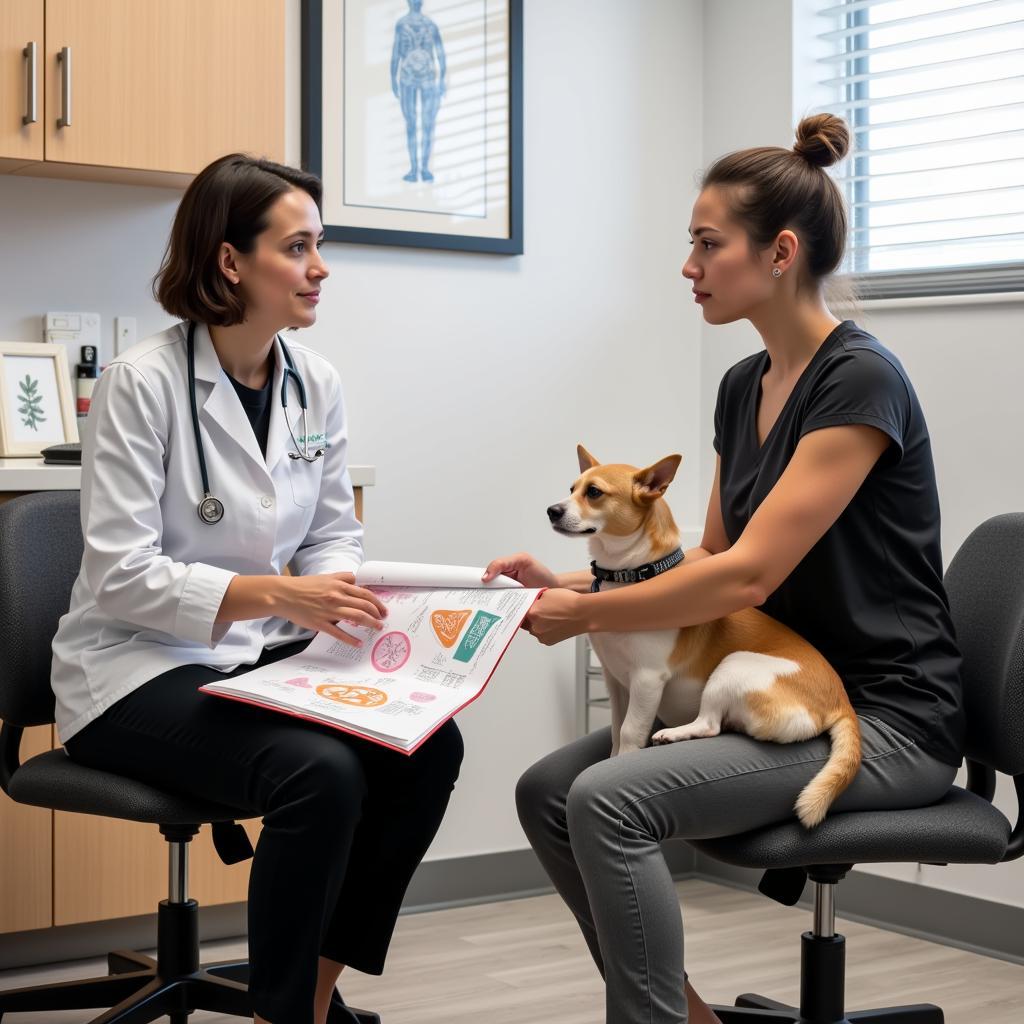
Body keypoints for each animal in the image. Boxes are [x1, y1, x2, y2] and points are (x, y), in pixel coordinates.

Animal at [548, 444, 860, 827]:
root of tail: (840, 702)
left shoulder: (647, 680)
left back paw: (672, 734)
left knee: (710, 724)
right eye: (572, 488)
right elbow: (616, 728)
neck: (634, 575)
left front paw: (622, 760)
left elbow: (630, 731)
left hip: (733, 666)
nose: (552, 510)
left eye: (594, 493)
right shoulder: (614, 680)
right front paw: (612, 756)